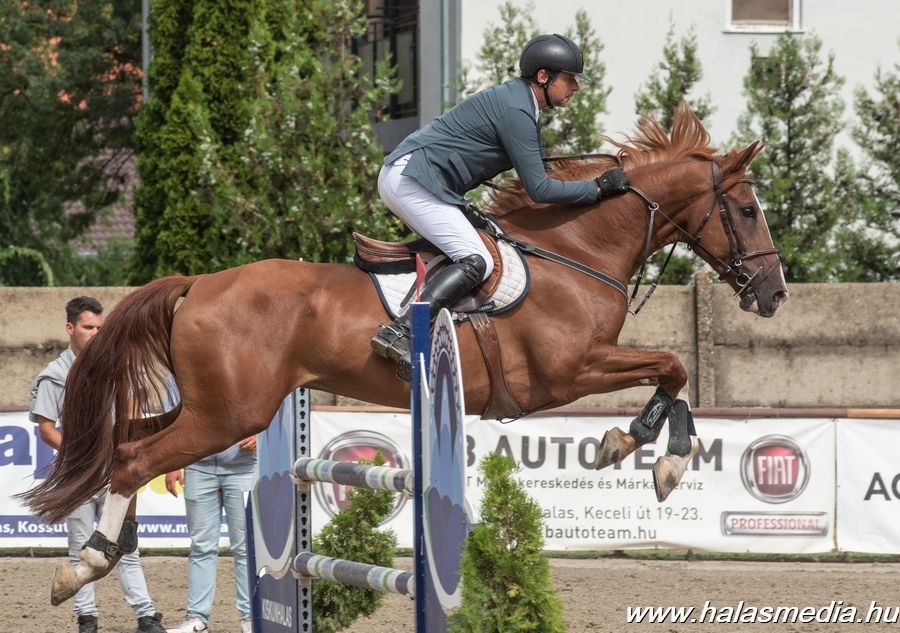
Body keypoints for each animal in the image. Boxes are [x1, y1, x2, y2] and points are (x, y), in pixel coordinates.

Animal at [20, 104, 787, 605]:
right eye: (749, 210)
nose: (774, 294)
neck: (575, 250)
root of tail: (197, 283)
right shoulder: (569, 372)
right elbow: (673, 366)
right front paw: (648, 451)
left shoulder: (582, 368)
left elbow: (673, 374)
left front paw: (644, 450)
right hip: (228, 412)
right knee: (132, 459)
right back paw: (81, 568)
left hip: (214, 407)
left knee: (124, 440)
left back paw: (100, 554)